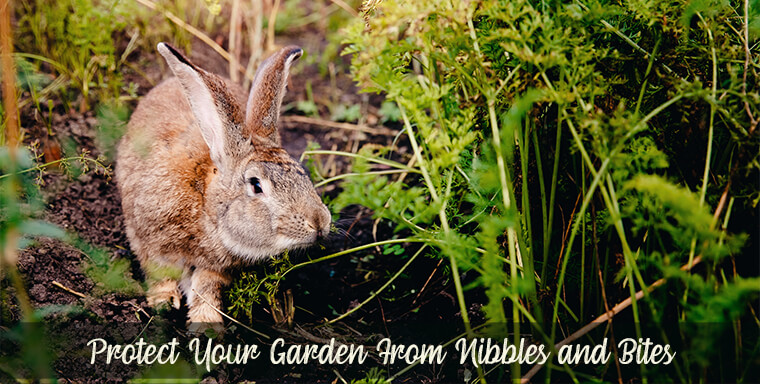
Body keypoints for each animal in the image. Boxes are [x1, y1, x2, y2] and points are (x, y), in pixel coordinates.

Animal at [117, 42, 332, 332]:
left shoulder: (215, 269)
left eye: (302, 173)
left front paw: (207, 325)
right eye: (256, 185)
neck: (205, 205)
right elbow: (159, 273)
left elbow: (206, 289)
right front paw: (164, 302)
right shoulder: (148, 240)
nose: (320, 223)